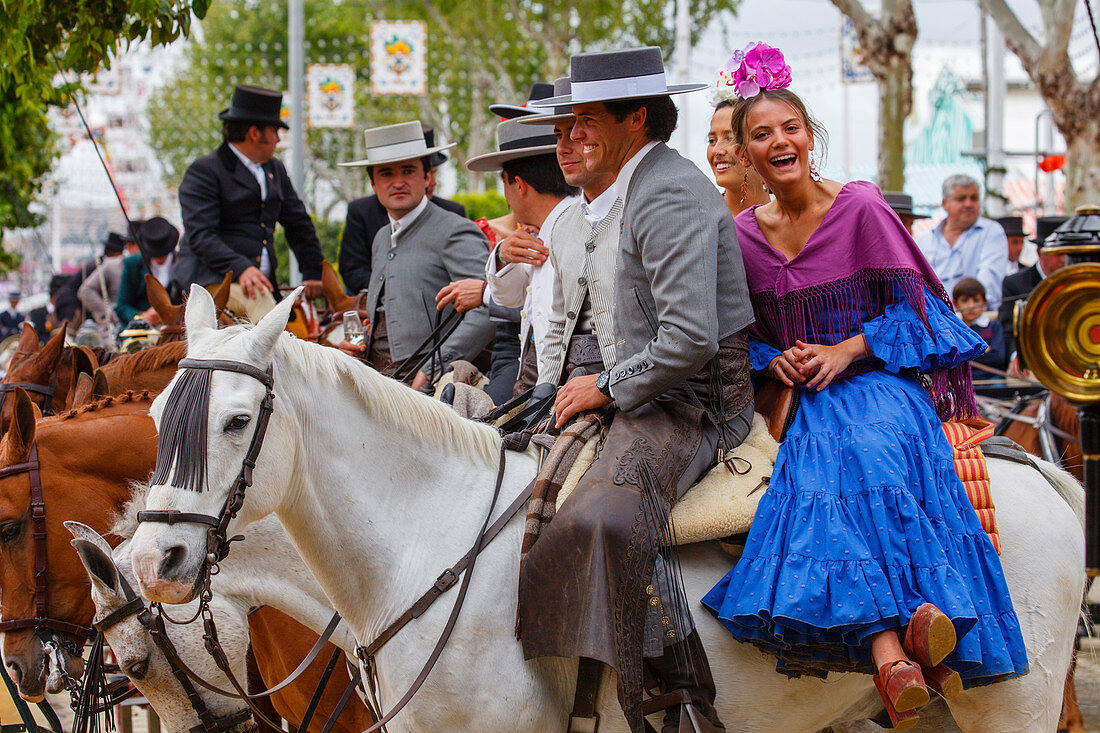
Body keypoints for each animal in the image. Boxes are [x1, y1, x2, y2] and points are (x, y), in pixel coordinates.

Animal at [130, 286, 1082, 730]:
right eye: (157, 414)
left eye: (237, 419)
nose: (153, 560)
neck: (427, 551)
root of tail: (1037, 466)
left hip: (1015, 704)